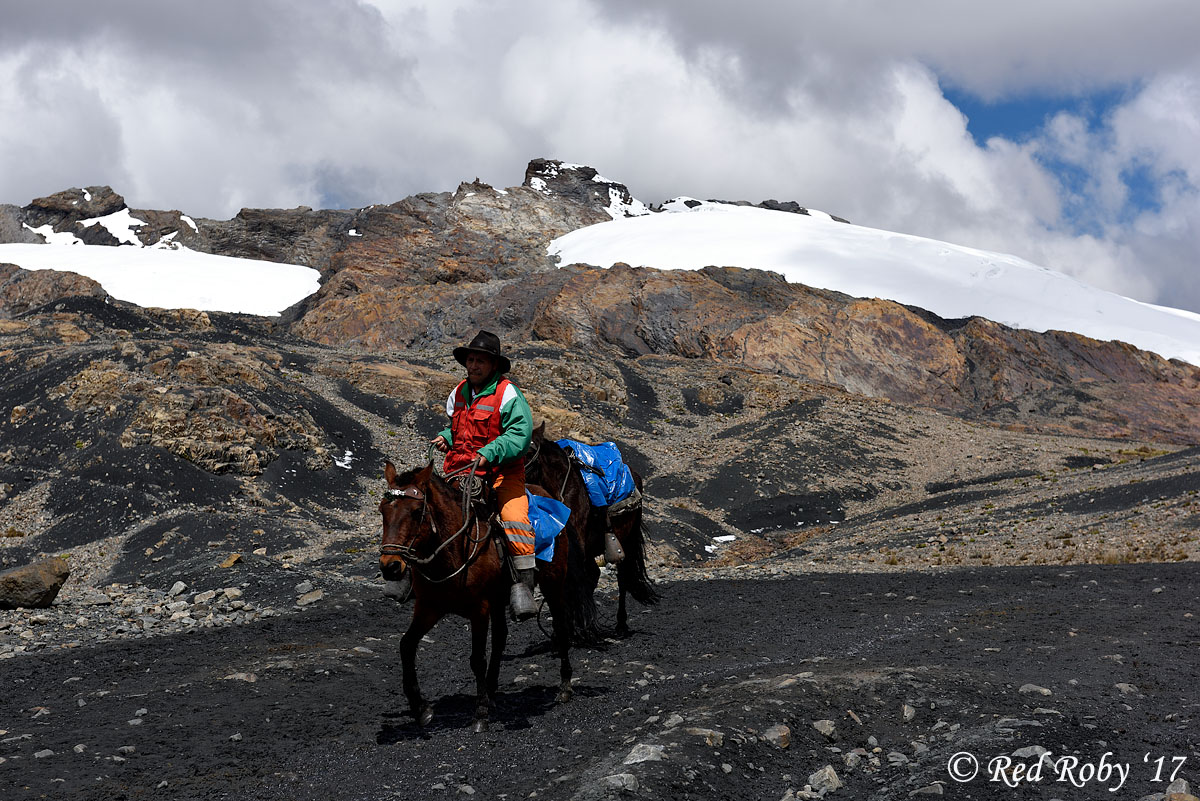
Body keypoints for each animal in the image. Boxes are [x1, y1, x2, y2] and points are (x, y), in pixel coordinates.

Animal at [376, 462, 592, 733]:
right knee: (500, 638)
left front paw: (480, 714)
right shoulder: (429, 607)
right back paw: (491, 691)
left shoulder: (478, 609)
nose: (390, 566)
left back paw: (564, 687)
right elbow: (406, 646)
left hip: (553, 584)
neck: (454, 550)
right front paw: (421, 709)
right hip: (499, 599)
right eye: (383, 510)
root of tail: (552, 499)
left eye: (416, 512)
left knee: (561, 628)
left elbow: (477, 658)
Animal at [525, 424, 657, 637]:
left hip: (625, 539)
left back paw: (620, 624)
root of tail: (634, 475)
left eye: (529, 452)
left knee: (622, 577)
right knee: (594, 575)